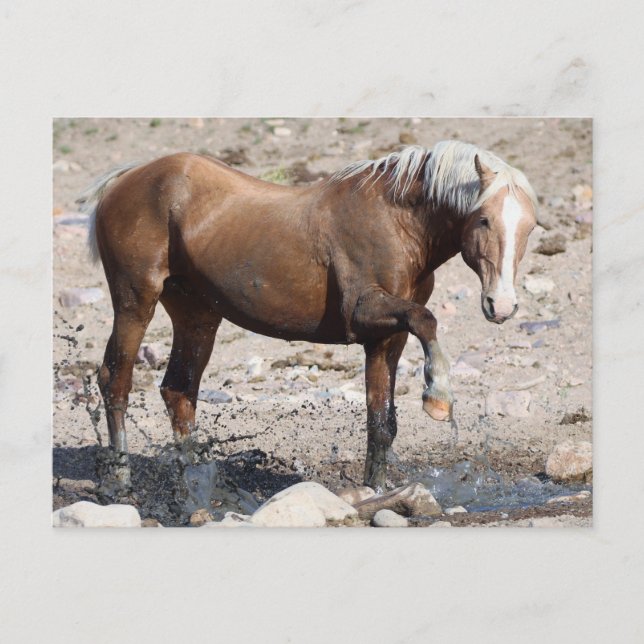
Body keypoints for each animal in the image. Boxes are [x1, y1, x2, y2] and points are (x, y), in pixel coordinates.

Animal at [80, 140, 537, 497]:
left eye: (531, 227)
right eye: (483, 219)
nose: (502, 305)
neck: (397, 221)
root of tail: (123, 181)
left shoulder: (386, 338)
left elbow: (381, 422)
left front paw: (377, 489)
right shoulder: (366, 313)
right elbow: (427, 321)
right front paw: (438, 396)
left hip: (197, 317)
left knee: (178, 391)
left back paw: (195, 486)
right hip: (135, 301)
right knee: (116, 381)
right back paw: (120, 480)